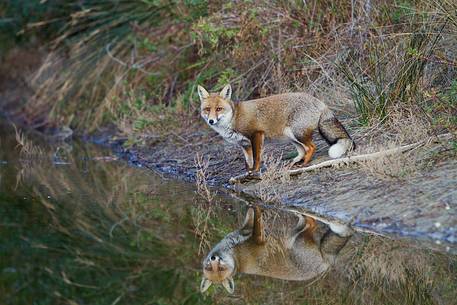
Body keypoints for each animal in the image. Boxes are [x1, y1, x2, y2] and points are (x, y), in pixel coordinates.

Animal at [198, 83, 354, 173]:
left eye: (219, 109)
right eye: (207, 109)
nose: (211, 121)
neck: (233, 118)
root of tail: (319, 101)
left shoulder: (256, 135)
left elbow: (256, 158)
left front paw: (255, 171)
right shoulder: (244, 144)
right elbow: (247, 161)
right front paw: (248, 172)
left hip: (296, 133)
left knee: (311, 147)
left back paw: (304, 164)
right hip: (290, 135)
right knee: (302, 150)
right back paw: (295, 162)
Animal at [199, 205, 350, 294]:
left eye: (220, 268)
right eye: (210, 268)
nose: (214, 258)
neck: (235, 253)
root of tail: (327, 263)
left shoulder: (249, 231)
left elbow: (252, 213)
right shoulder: (254, 236)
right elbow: (256, 221)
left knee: (310, 222)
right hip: (296, 240)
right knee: (310, 223)